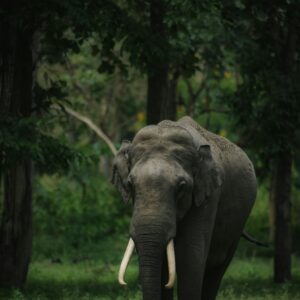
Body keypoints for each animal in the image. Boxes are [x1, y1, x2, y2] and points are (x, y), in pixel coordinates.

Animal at [111, 116, 256, 300]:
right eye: (130, 184)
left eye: (181, 186)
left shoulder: (208, 198)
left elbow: (190, 258)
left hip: (239, 221)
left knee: (217, 269)